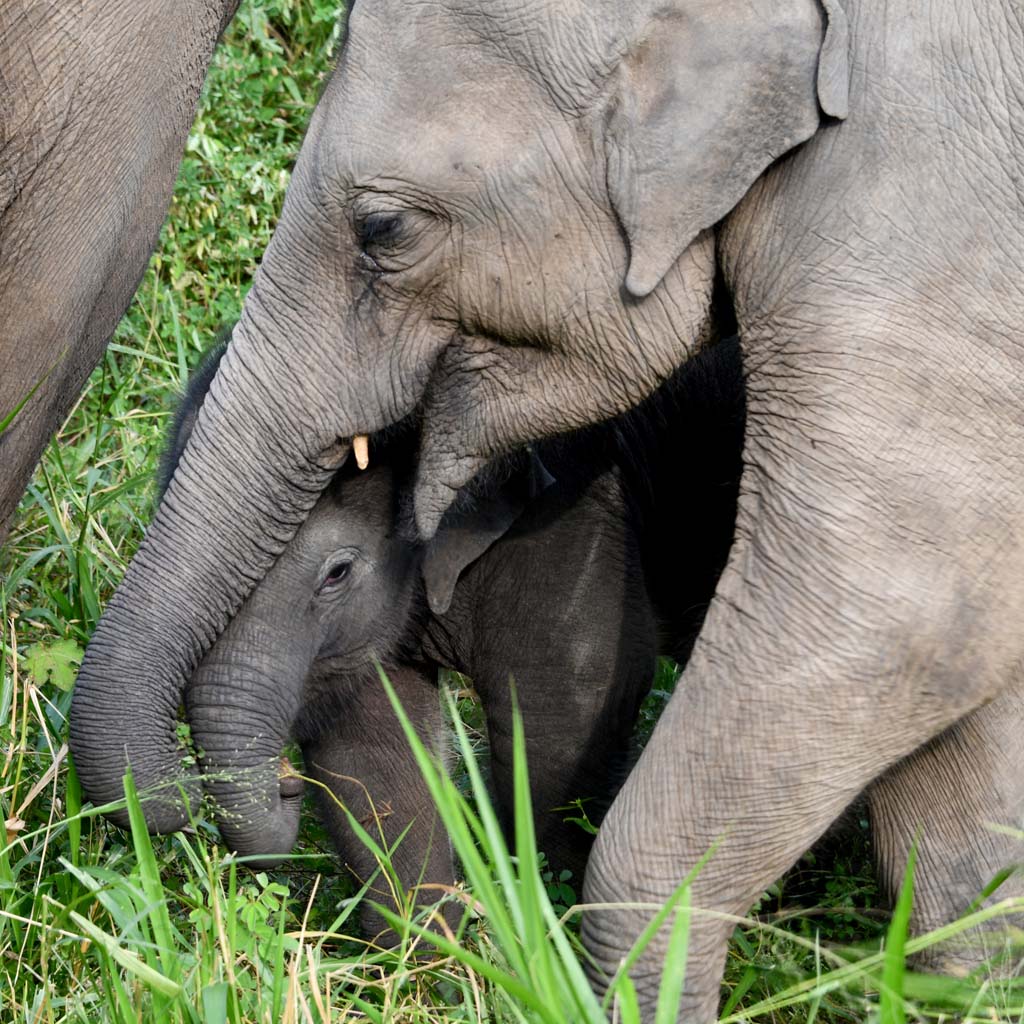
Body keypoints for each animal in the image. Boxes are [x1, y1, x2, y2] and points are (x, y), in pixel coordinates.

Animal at [159, 333, 745, 937]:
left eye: (336, 573)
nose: (286, 783)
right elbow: (370, 751)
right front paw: (429, 947)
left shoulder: (576, 527)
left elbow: (560, 724)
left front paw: (553, 924)